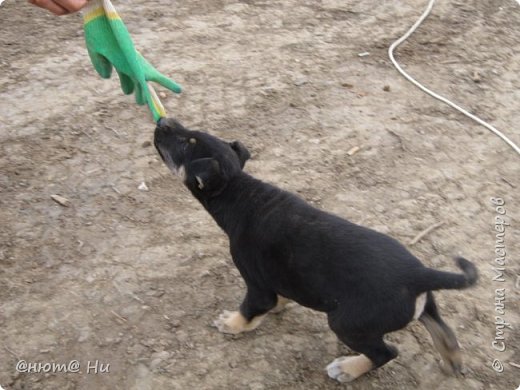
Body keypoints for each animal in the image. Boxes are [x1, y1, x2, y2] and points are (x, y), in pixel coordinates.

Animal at [155, 117, 480, 382]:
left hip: (347, 323)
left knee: (386, 353)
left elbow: (250, 308)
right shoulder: (279, 276)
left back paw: (348, 368)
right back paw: (452, 363)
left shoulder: (256, 283)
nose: (163, 121)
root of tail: (419, 274)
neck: (239, 192)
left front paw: (232, 324)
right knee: (443, 331)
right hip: (422, 306)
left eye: (186, 142)